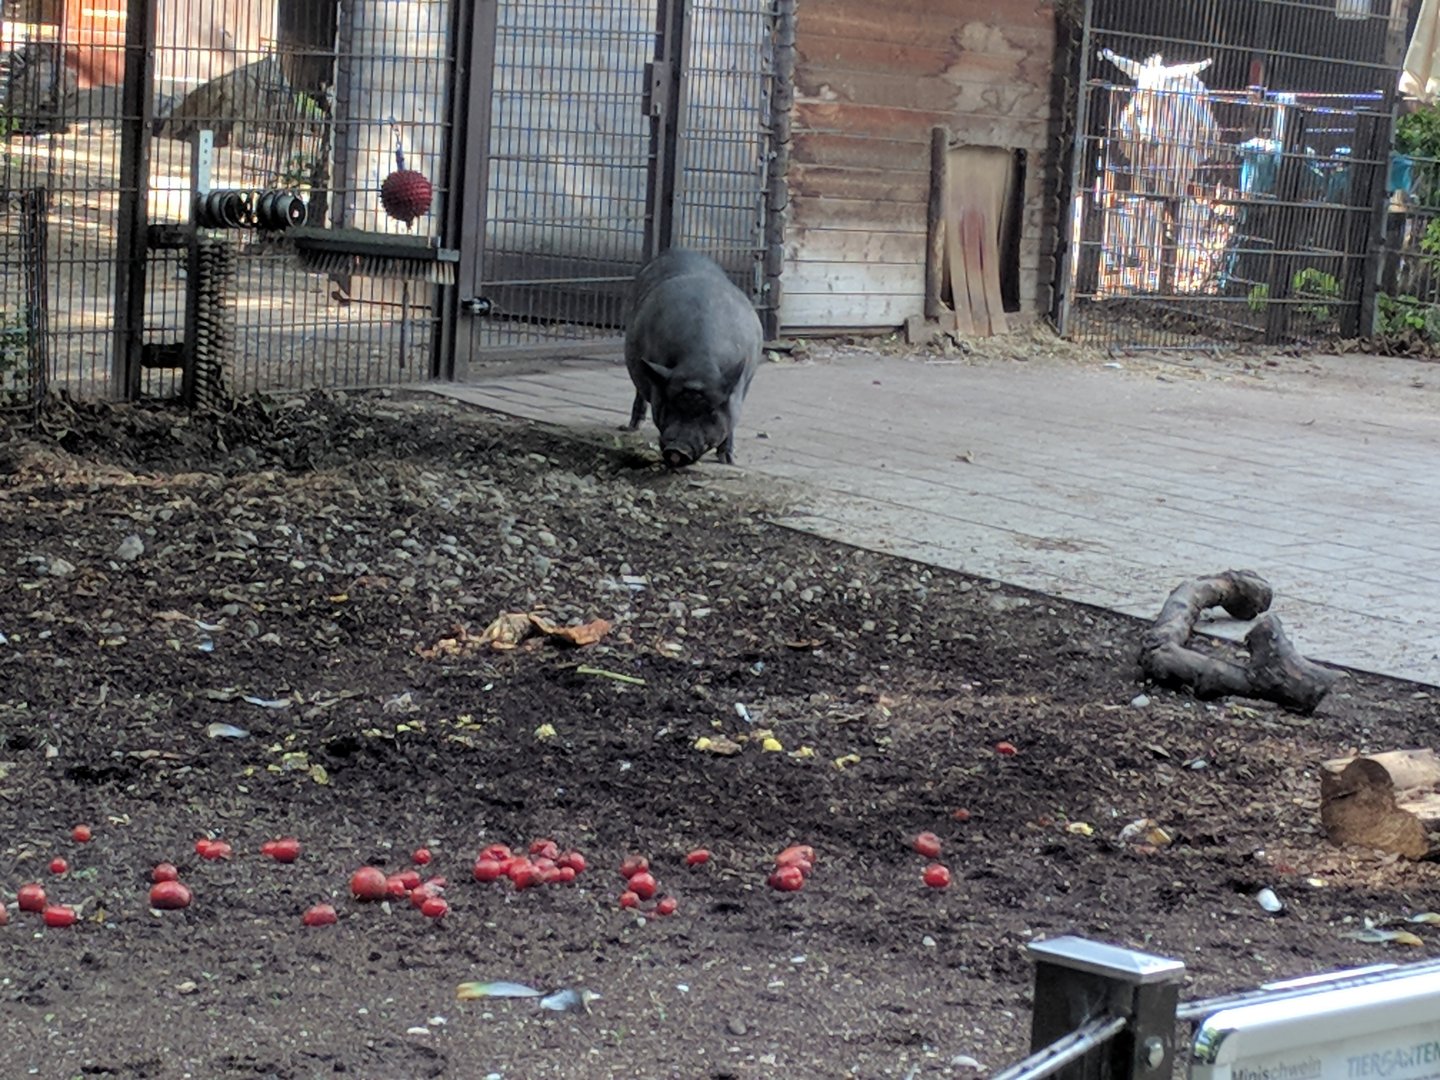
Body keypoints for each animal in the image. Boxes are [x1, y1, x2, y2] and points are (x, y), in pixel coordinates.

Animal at [623, 248, 762, 468]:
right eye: (670, 405)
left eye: (711, 411)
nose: (677, 449)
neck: (698, 364)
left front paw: (728, 460)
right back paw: (630, 427)